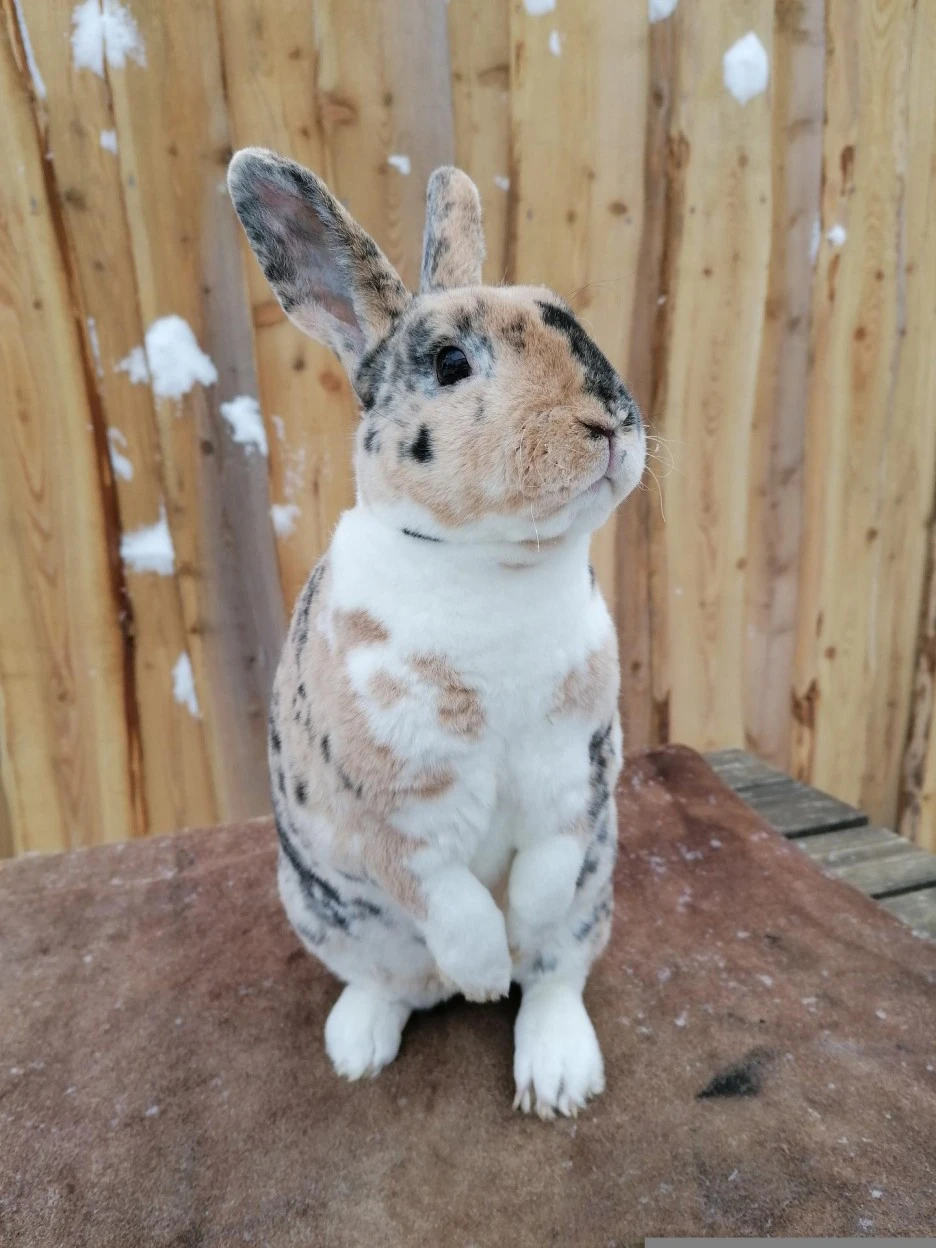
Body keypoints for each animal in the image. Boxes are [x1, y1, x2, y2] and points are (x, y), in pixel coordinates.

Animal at [227, 148, 646, 1119]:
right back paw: (366, 1042)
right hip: (325, 914)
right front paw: (486, 974)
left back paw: (556, 1075)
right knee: (396, 982)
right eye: (451, 362)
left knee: (558, 973)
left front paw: (513, 947)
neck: (497, 567)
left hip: (598, 897)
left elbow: (542, 873)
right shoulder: (390, 809)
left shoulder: (575, 773)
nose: (609, 421)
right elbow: (447, 897)